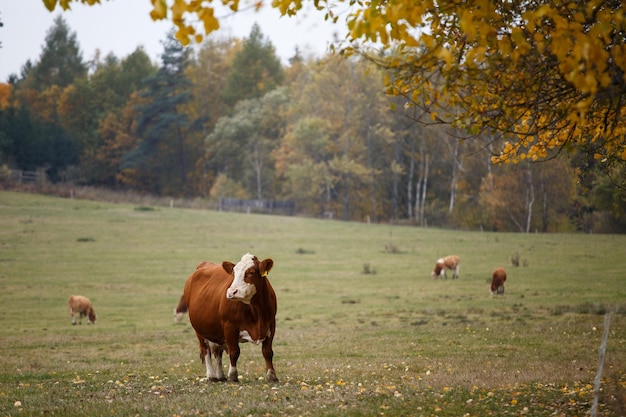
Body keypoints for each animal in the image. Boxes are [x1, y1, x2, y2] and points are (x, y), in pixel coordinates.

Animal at [180, 252, 278, 382]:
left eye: (251, 272)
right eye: (233, 273)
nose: (232, 292)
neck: (256, 311)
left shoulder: (271, 324)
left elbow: (267, 352)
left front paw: (272, 375)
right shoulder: (229, 327)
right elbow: (234, 352)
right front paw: (232, 375)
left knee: (218, 352)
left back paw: (220, 375)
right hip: (199, 330)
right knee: (206, 350)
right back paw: (211, 376)